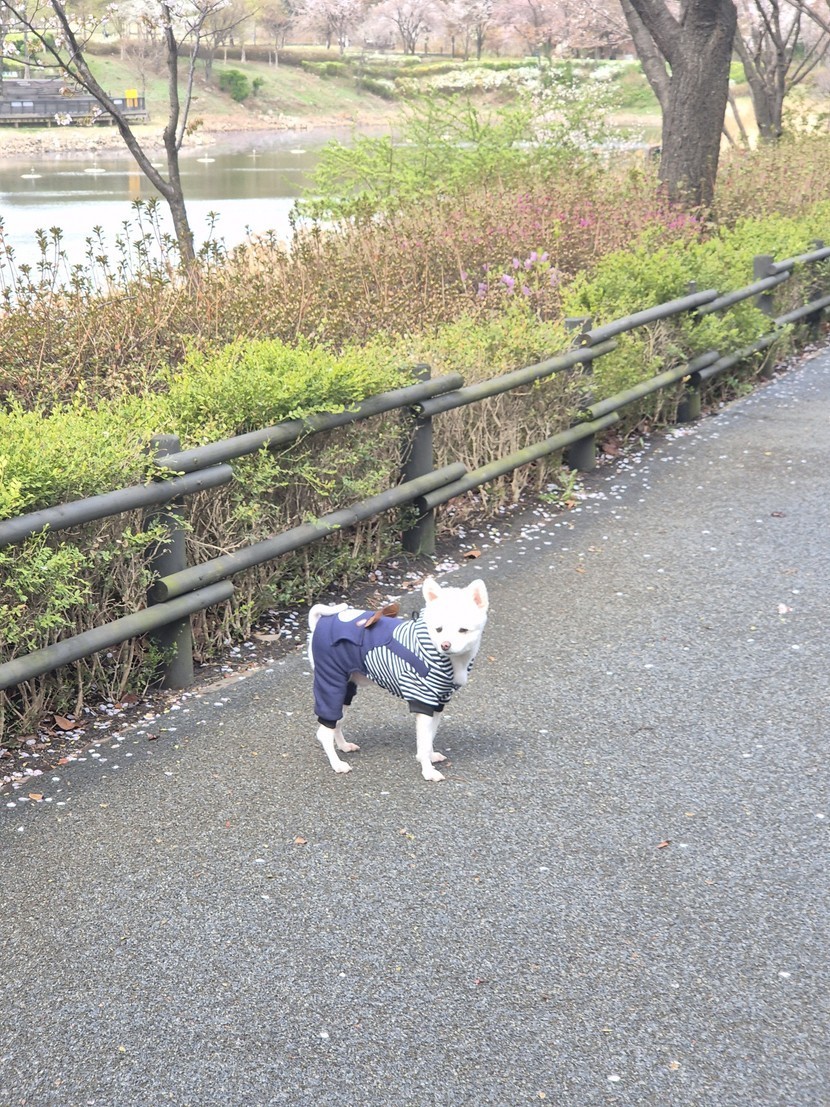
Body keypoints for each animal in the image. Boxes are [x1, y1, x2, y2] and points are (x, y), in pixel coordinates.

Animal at [307, 577, 489, 781]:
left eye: (463, 630)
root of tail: (317, 625)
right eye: (438, 629)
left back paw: (343, 746)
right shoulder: (424, 701)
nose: (445, 645)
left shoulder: (437, 704)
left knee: (336, 723)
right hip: (331, 684)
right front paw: (428, 771)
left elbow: (429, 738)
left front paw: (429, 756)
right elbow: (424, 743)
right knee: (324, 732)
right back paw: (336, 763)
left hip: (345, 689)